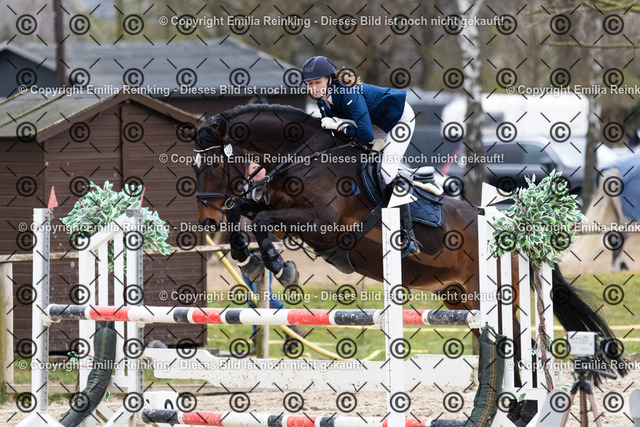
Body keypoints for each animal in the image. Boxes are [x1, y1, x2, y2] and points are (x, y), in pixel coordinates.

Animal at [191, 103, 627, 388]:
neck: (306, 157)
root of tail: (515, 228)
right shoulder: (280, 210)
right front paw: (247, 259)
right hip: (461, 298)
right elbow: (247, 212)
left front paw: (282, 268)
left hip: (496, 296)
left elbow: (261, 220)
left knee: (521, 342)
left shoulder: (323, 225)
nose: (205, 222)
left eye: (212, 164)